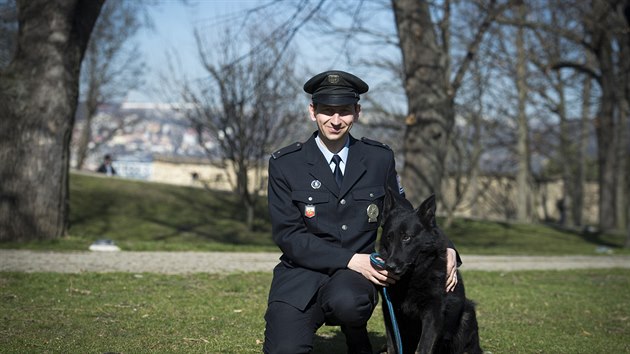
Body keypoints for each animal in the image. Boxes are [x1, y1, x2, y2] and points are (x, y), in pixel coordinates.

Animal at [380, 191, 484, 354]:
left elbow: (423, 346)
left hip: (467, 315)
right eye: (389, 237)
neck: (412, 276)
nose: (389, 266)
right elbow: (393, 344)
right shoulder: (389, 311)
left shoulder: (432, 312)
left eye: (406, 237)